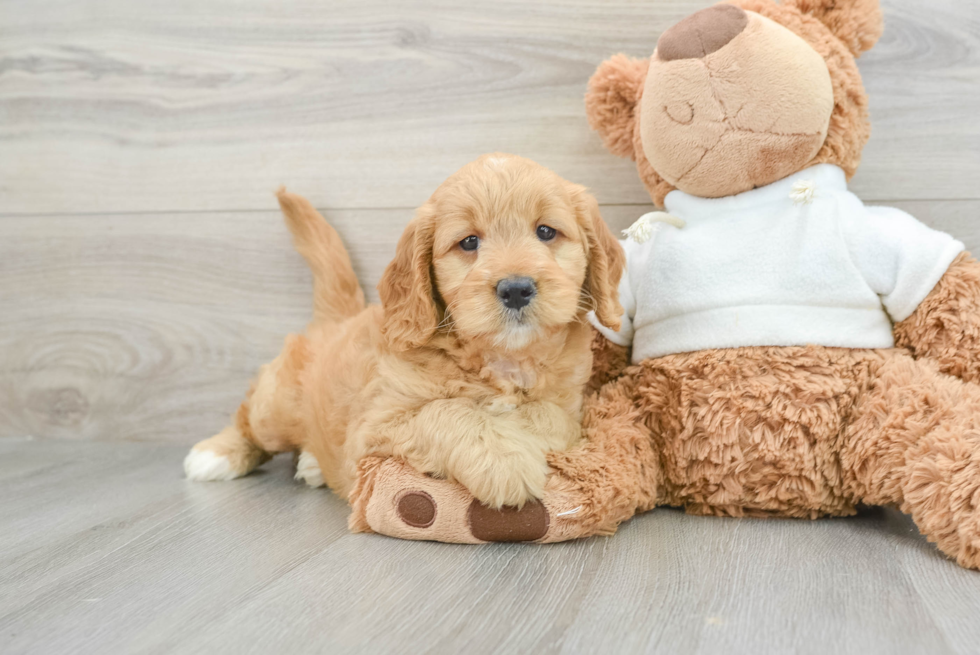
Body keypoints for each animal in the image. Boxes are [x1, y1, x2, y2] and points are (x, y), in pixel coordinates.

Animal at [186, 152, 620, 508]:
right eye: (469, 242)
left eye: (546, 232)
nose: (515, 289)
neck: (501, 358)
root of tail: (337, 321)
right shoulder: (373, 428)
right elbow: (446, 413)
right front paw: (504, 461)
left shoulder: (571, 405)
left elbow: (547, 415)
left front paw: (514, 430)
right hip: (275, 407)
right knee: (250, 419)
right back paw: (216, 454)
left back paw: (311, 463)